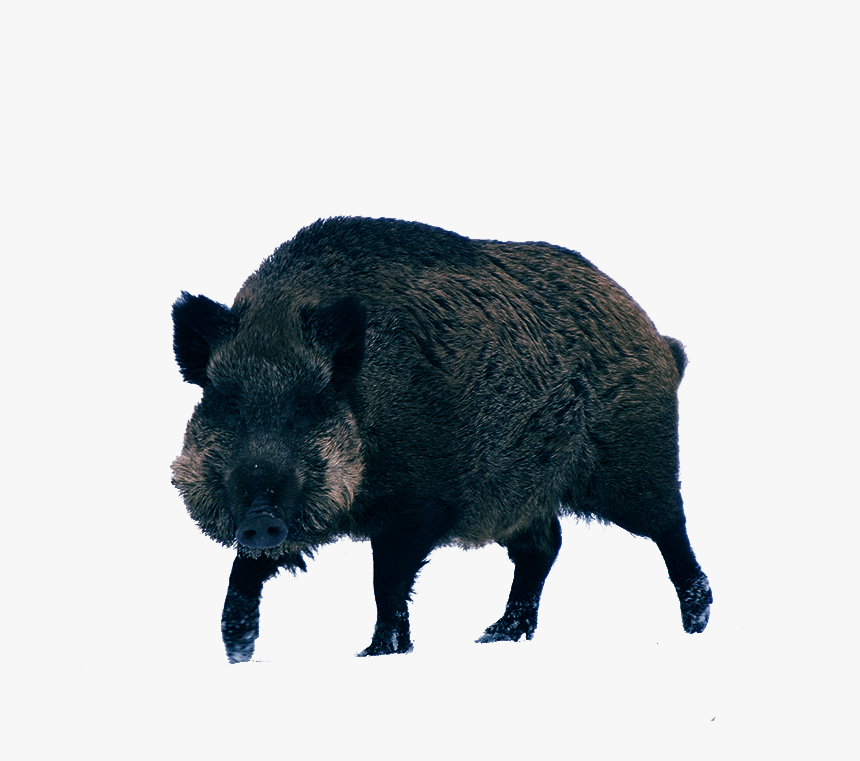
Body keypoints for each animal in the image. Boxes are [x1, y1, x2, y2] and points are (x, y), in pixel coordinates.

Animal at [171, 216, 711, 663]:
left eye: (307, 405)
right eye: (228, 402)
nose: (260, 515)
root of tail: (659, 341)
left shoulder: (418, 504)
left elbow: (387, 581)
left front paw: (377, 654)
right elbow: (245, 570)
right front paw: (237, 651)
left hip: (633, 460)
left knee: (669, 527)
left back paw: (696, 623)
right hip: (520, 494)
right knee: (545, 546)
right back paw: (496, 635)